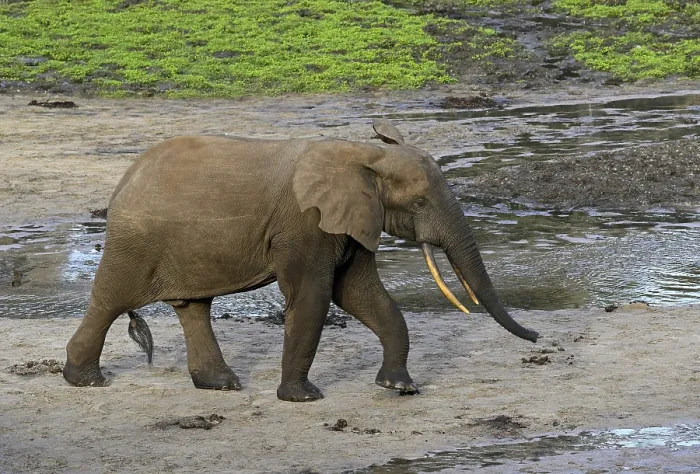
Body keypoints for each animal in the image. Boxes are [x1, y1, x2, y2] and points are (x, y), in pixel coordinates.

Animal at [63, 119, 538, 402]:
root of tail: (125, 180)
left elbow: (359, 293)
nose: (536, 337)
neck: (364, 154)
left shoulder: (351, 220)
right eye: (419, 204)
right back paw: (85, 381)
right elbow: (314, 294)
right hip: (135, 241)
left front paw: (400, 387)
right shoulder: (307, 223)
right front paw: (304, 397)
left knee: (193, 307)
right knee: (110, 300)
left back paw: (221, 385)